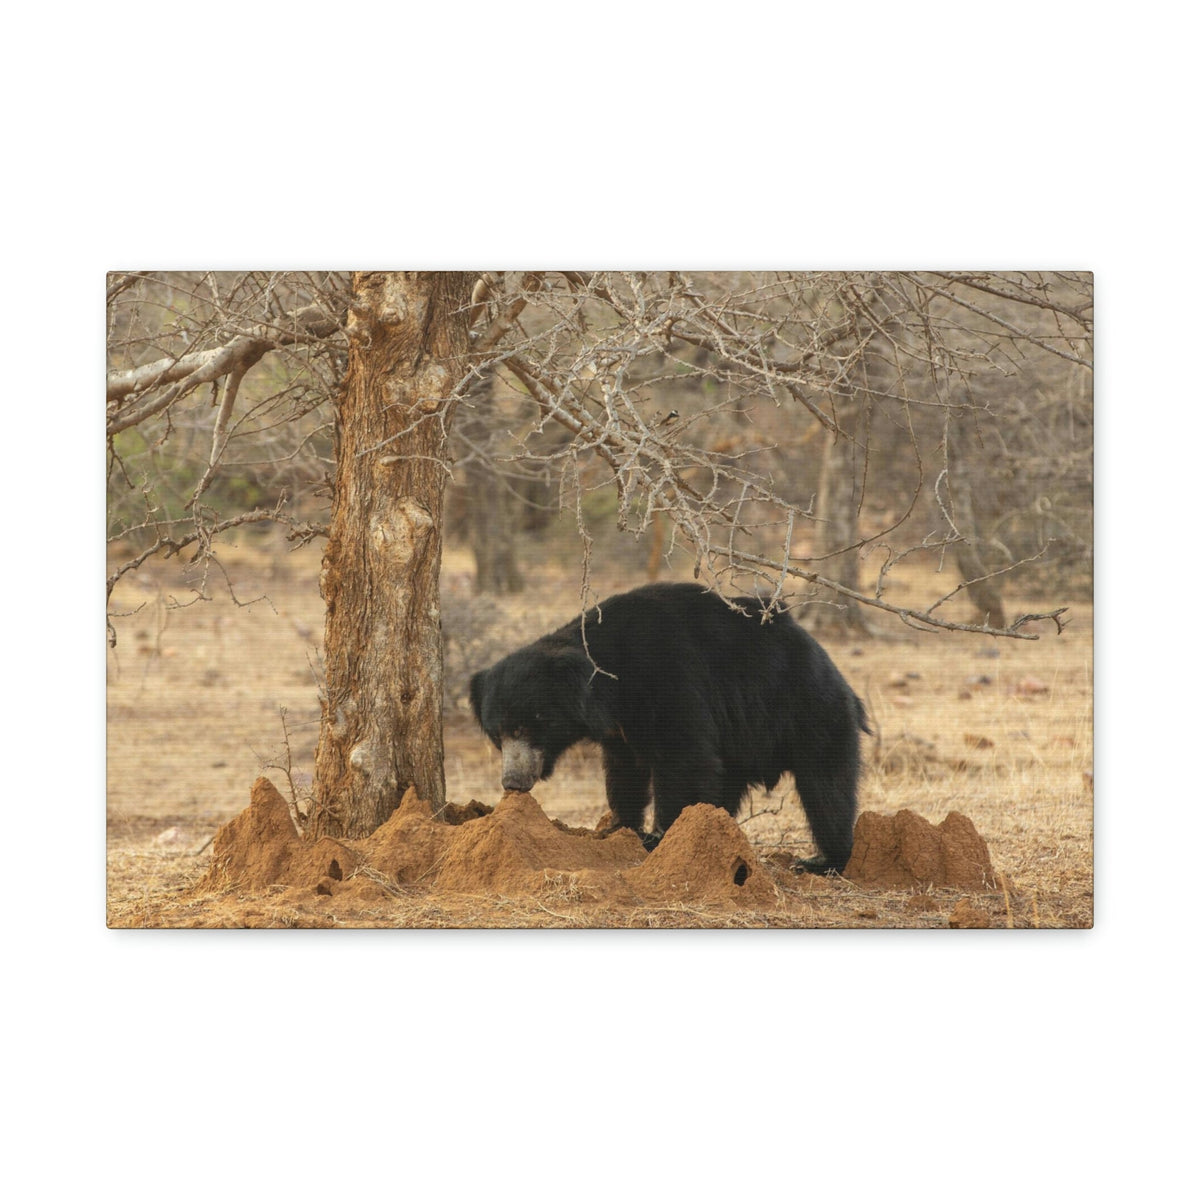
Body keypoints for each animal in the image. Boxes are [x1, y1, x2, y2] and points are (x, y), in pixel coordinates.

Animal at [468, 582, 870, 874]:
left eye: (525, 728)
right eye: (497, 734)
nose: (513, 782)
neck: (607, 684)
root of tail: (837, 675)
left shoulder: (667, 678)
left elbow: (684, 758)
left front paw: (660, 838)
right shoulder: (619, 728)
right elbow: (624, 772)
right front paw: (619, 828)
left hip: (808, 713)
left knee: (826, 787)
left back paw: (822, 861)